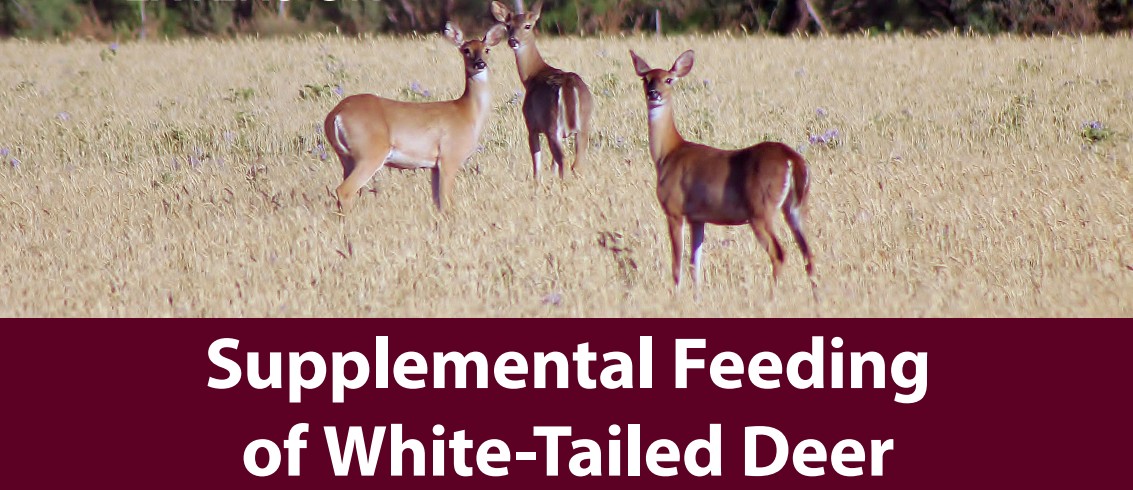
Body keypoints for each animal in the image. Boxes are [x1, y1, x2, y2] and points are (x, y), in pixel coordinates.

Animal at [323, 22, 506, 213]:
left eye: (487, 49)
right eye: (466, 50)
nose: (480, 63)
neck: (467, 113)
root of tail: (336, 114)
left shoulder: (434, 166)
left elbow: (437, 202)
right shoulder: (449, 157)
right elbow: (447, 203)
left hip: (346, 157)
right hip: (370, 154)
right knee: (344, 190)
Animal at [490, 1, 593, 182]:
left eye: (528, 25)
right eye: (508, 25)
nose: (513, 41)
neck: (532, 76)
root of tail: (569, 86)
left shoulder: (531, 124)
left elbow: (537, 165)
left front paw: (537, 183)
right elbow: (551, 166)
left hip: (552, 125)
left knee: (563, 160)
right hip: (583, 124)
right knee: (577, 164)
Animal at [629, 49, 818, 301]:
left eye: (668, 79)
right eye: (645, 79)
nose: (654, 94)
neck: (668, 153)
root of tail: (792, 159)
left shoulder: (674, 210)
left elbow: (677, 263)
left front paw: (676, 297)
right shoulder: (698, 217)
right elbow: (695, 263)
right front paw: (697, 298)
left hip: (761, 210)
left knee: (779, 253)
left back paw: (771, 298)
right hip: (796, 207)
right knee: (809, 254)